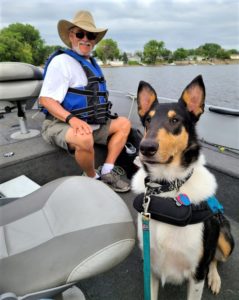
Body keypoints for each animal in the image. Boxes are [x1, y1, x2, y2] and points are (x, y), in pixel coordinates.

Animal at [131, 75, 233, 300]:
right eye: (148, 120)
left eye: (175, 120)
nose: (146, 148)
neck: (167, 188)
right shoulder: (150, 269)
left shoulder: (197, 273)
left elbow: (206, 264)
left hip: (225, 239)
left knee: (214, 259)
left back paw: (215, 278)